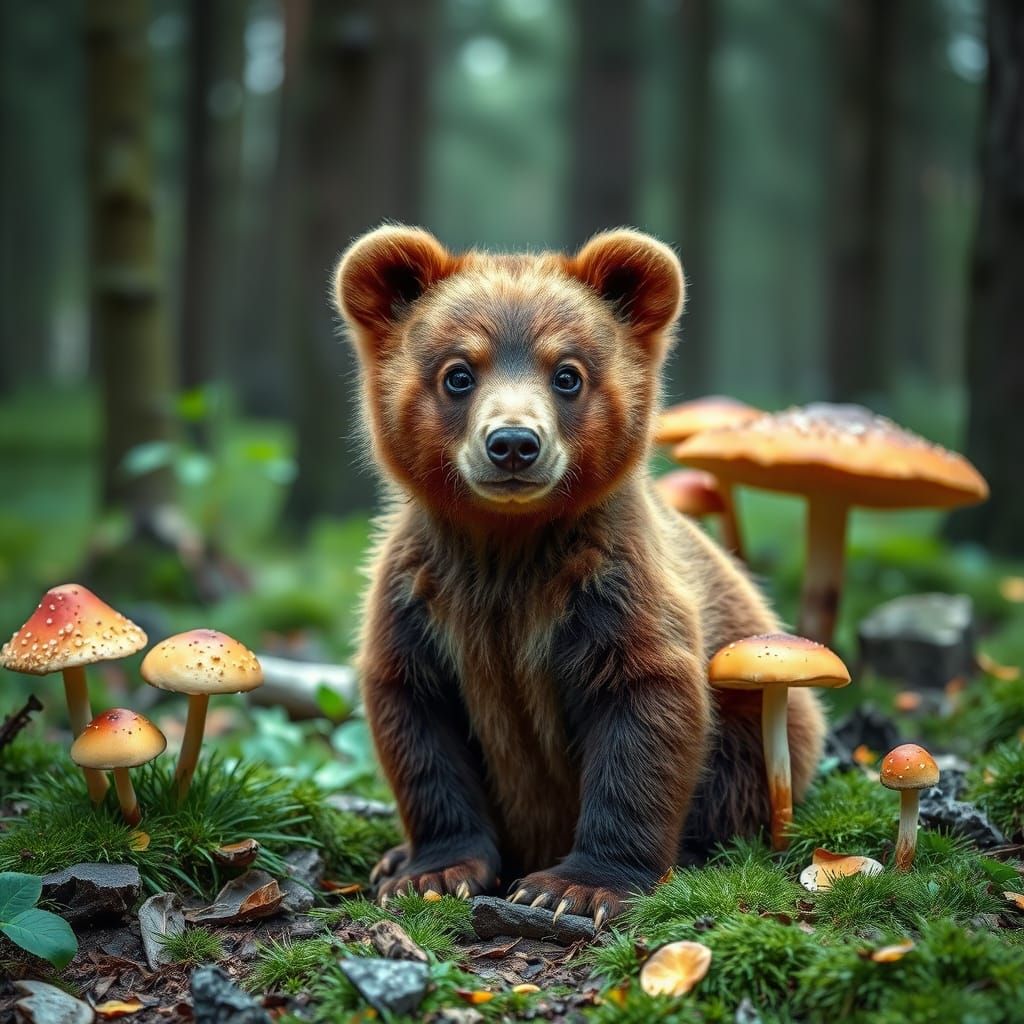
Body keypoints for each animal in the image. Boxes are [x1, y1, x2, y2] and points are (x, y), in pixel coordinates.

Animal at [334, 225, 825, 926]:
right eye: (458, 373)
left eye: (567, 373)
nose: (513, 443)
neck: (508, 548)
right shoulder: (421, 597)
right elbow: (419, 726)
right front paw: (432, 873)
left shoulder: (609, 589)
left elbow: (644, 711)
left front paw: (575, 886)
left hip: (759, 723)